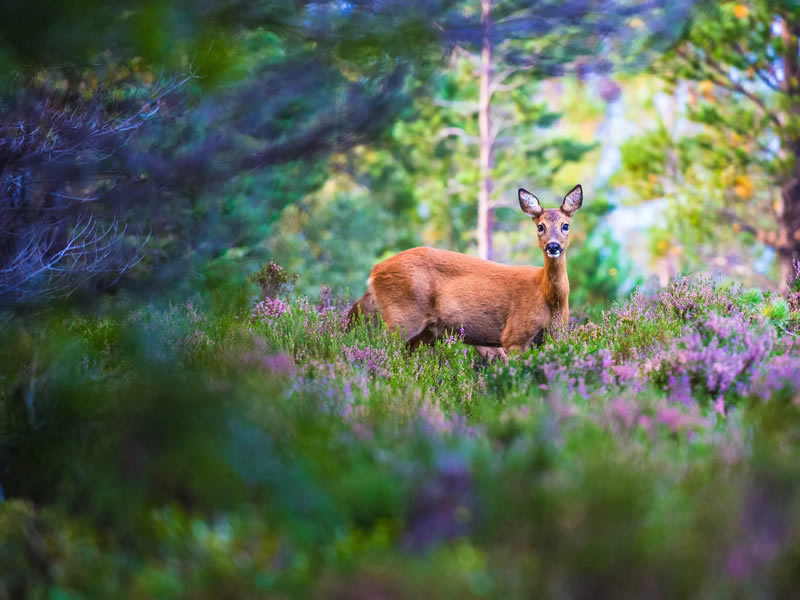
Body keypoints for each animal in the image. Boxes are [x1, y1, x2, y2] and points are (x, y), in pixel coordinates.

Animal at [346, 185, 584, 354]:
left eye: (565, 225)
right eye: (540, 226)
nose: (553, 246)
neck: (548, 297)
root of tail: (375, 271)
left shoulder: (557, 335)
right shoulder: (513, 336)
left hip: (425, 332)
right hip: (401, 318)